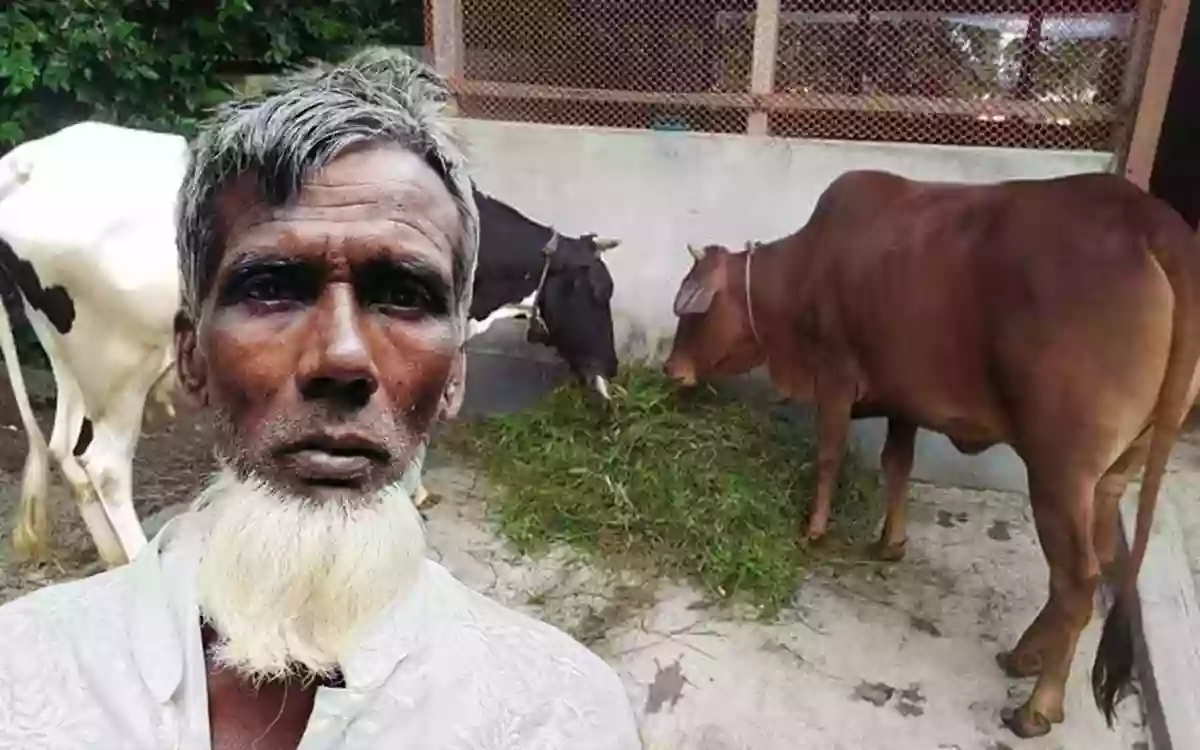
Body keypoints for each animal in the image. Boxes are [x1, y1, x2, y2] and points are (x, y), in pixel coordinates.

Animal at [662, 169, 1200, 740]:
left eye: (694, 311)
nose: (671, 369)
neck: (806, 269)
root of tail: (1155, 223)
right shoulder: (904, 402)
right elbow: (897, 465)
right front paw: (890, 542)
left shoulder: (835, 376)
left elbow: (829, 455)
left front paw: (814, 530)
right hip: (1112, 475)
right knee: (1088, 568)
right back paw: (1025, 655)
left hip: (1059, 472)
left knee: (1077, 580)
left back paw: (1037, 705)